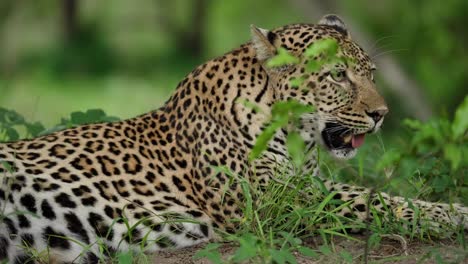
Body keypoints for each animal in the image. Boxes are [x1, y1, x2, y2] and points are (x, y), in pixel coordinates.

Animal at [0, 15, 466, 262]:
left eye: (370, 73)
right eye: (337, 75)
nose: (381, 115)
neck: (297, 138)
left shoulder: (302, 185)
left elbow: (377, 195)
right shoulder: (275, 200)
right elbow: (380, 199)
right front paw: (455, 214)